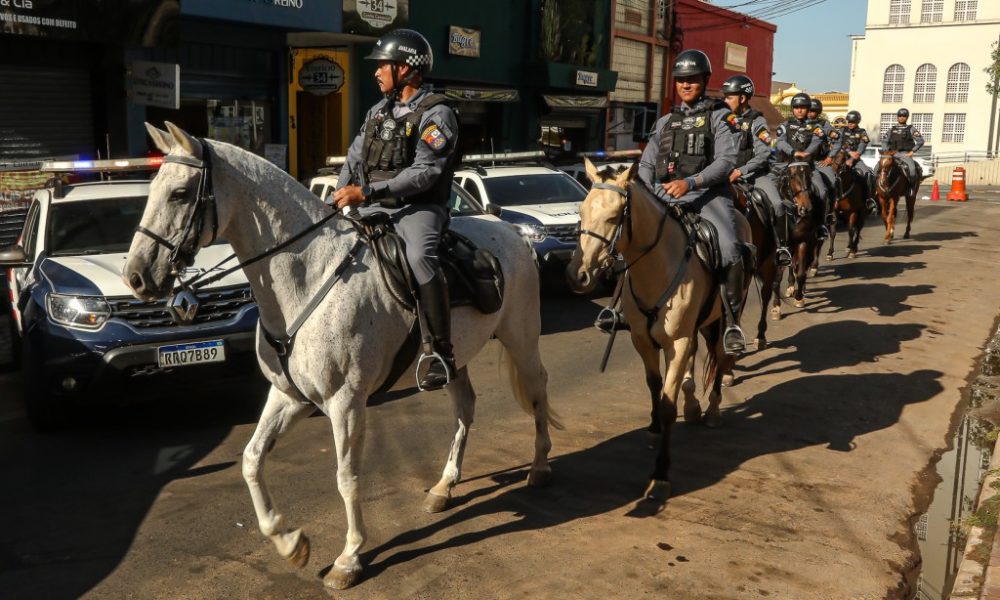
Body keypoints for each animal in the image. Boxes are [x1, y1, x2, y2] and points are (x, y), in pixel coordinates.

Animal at [123, 123, 564, 592]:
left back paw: (539, 467)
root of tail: (509, 230)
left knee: (538, 391)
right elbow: (251, 461)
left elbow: (347, 478)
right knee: (465, 407)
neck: (308, 275)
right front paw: (289, 542)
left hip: (522, 339)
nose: (135, 276)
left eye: (180, 193)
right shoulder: (289, 397)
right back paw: (444, 487)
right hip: (455, 359)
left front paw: (349, 558)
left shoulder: (346, 404)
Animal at [568, 159, 748, 506]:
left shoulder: (676, 342)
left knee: (720, 357)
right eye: (581, 213)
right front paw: (653, 426)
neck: (657, 266)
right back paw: (692, 405)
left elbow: (667, 403)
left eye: (614, 217)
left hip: (723, 317)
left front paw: (660, 475)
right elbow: (653, 386)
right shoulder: (643, 340)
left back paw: (712, 409)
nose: (577, 275)